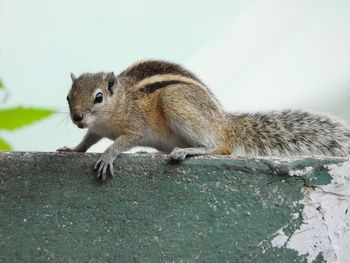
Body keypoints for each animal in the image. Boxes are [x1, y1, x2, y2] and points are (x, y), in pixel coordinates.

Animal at [57, 59, 350, 180]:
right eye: (68, 96)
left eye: (98, 97)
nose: (77, 117)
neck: (119, 102)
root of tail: (224, 124)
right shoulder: (95, 129)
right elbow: (88, 139)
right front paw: (73, 148)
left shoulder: (135, 124)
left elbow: (122, 141)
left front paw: (108, 155)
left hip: (174, 101)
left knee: (219, 147)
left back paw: (187, 150)